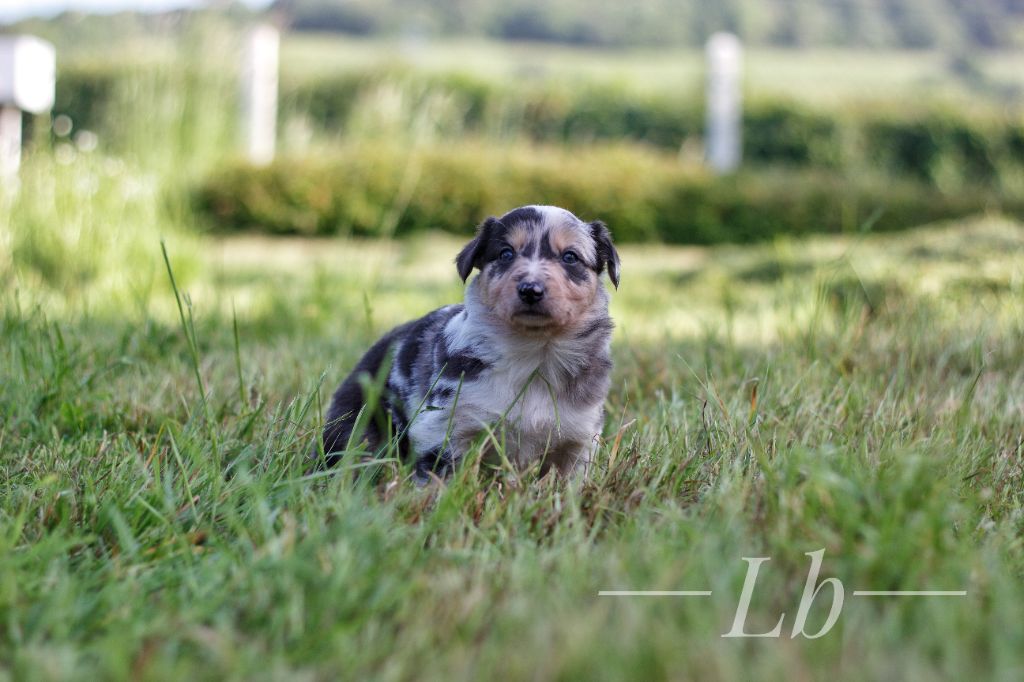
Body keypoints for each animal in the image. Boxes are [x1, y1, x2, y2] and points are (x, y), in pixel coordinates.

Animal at [313, 204, 614, 481]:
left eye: (570, 257)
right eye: (506, 253)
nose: (531, 290)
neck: (534, 353)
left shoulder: (579, 438)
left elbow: (570, 486)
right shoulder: (443, 425)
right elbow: (439, 480)